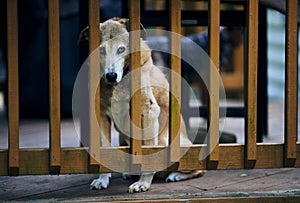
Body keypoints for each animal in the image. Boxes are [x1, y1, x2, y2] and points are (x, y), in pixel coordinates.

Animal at [78, 18, 205, 193]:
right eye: (101, 50)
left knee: (198, 169)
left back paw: (175, 175)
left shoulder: (148, 110)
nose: (111, 76)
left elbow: (148, 154)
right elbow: (105, 150)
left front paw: (143, 183)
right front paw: (102, 179)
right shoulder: (102, 116)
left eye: (121, 49)